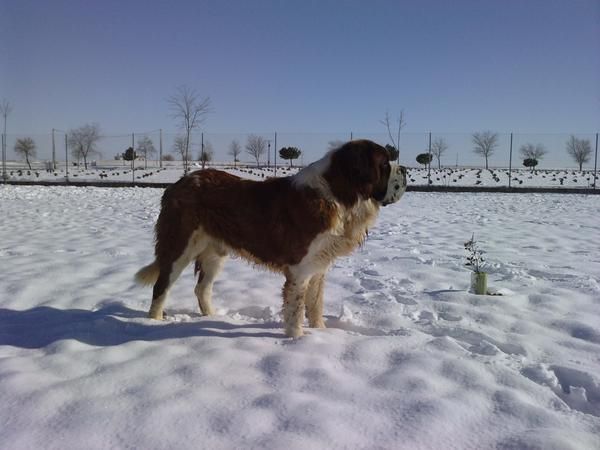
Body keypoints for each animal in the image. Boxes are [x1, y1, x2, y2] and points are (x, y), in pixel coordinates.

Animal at [135, 139, 408, 336]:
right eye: (385, 164)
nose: (404, 169)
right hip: (180, 246)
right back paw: (154, 323)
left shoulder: (318, 266)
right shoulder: (299, 269)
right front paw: (297, 340)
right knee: (162, 286)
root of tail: (179, 182)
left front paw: (321, 332)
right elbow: (296, 308)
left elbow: (316, 304)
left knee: (202, 287)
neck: (340, 196)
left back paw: (212, 317)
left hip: (215, 253)